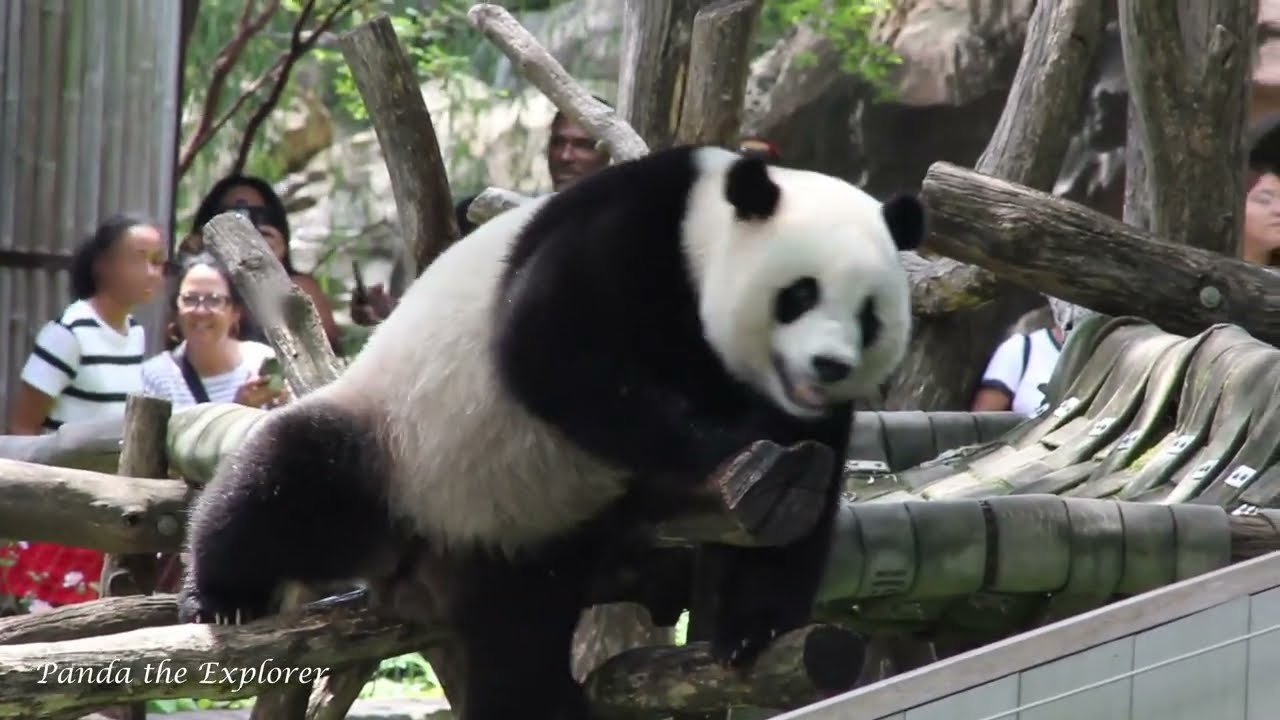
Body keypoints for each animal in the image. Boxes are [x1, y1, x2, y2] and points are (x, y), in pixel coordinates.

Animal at [178, 144, 924, 720]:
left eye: (870, 316)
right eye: (799, 294)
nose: (829, 366)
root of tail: (418, 565)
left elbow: (804, 497)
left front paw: (754, 630)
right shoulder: (632, 243)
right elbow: (548, 352)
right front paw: (722, 441)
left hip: (523, 537)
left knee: (521, 632)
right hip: (397, 446)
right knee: (288, 477)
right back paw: (222, 595)